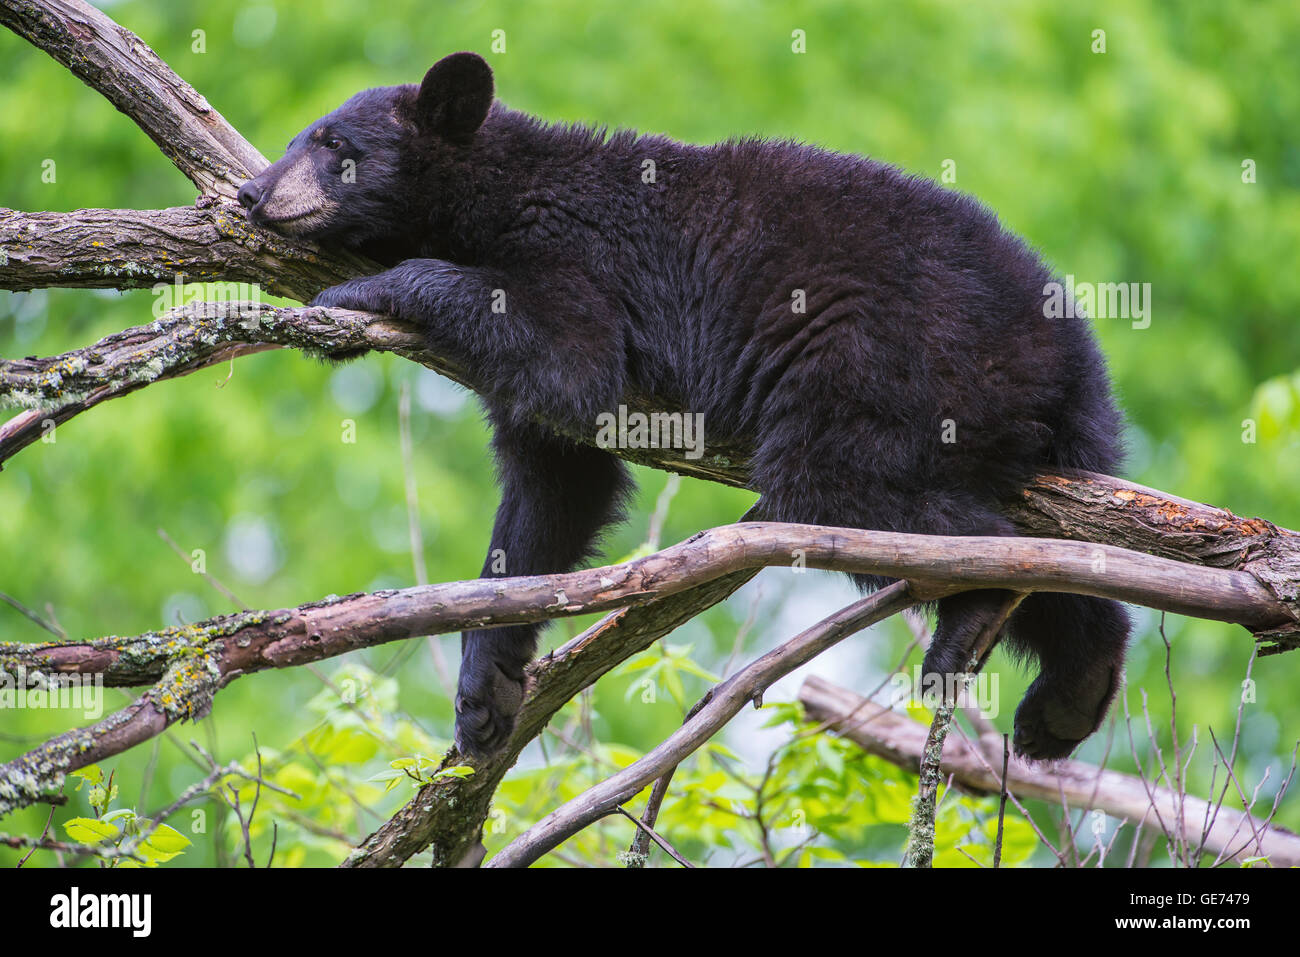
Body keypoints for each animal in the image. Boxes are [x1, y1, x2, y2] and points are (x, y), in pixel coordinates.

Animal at [241, 54, 1128, 764]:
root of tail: (1065, 349)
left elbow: (568, 356)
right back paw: (1069, 694)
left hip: (893, 358)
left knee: (842, 486)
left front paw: (359, 294)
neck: (497, 191)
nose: (252, 191)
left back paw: (974, 609)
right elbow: (552, 491)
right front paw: (483, 691)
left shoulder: (574, 253)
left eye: (335, 147)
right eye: (298, 139)